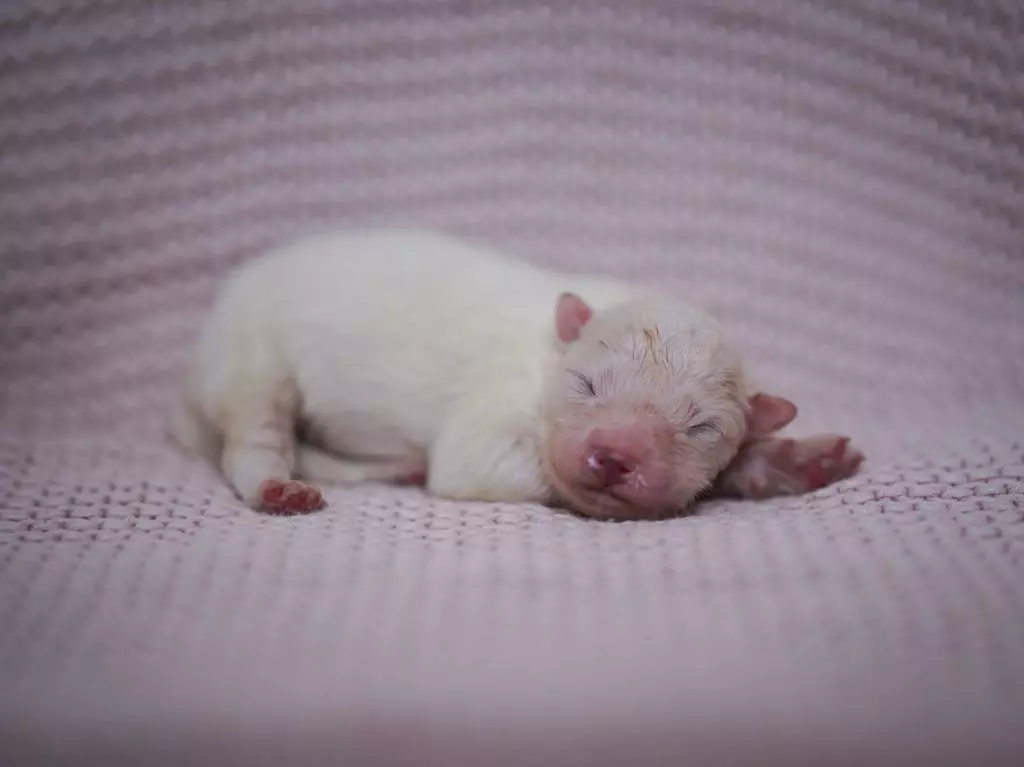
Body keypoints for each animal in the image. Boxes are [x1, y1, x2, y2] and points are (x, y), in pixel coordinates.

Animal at [169, 229, 863, 520]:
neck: (551, 356)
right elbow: (476, 464)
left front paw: (789, 460)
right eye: (586, 385)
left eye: (701, 429)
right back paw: (275, 487)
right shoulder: (493, 414)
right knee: (254, 438)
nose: (615, 456)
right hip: (251, 356)